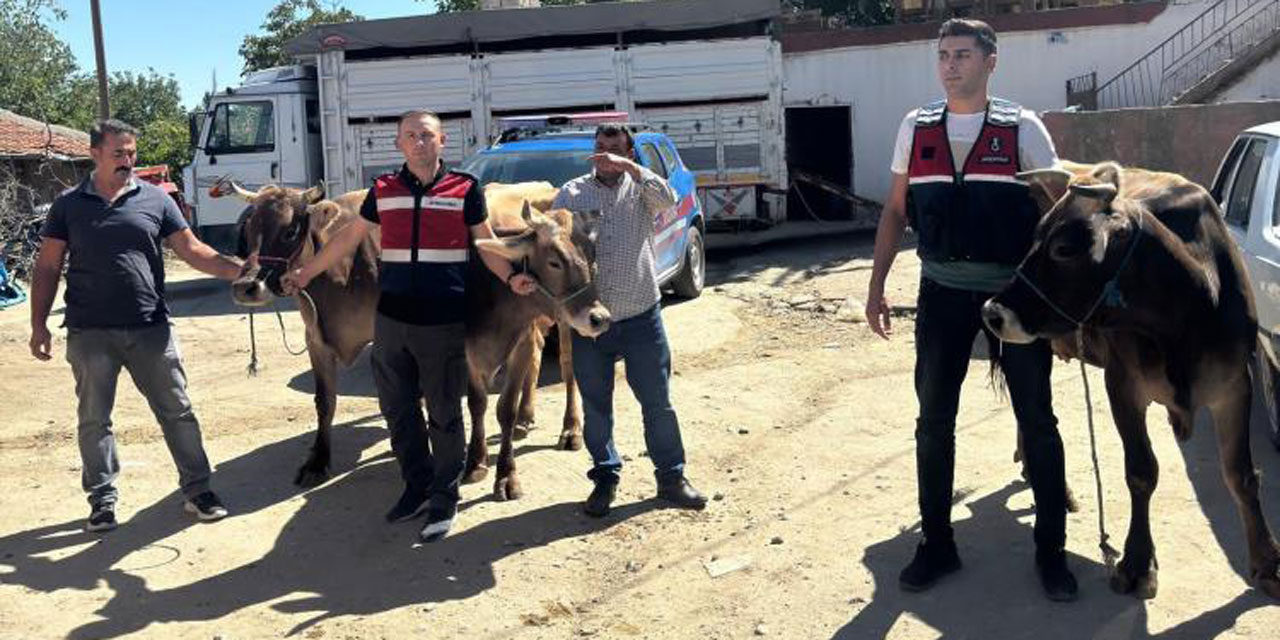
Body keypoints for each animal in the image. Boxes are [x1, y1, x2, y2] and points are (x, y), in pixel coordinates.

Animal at [977, 161, 1280, 599]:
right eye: (1036, 237)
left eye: (1063, 249)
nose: (993, 313)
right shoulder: (1123, 386)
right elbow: (1141, 472)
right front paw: (1137, 563)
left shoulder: (1234, 385)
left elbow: (1240, 475)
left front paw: (1268, 562)